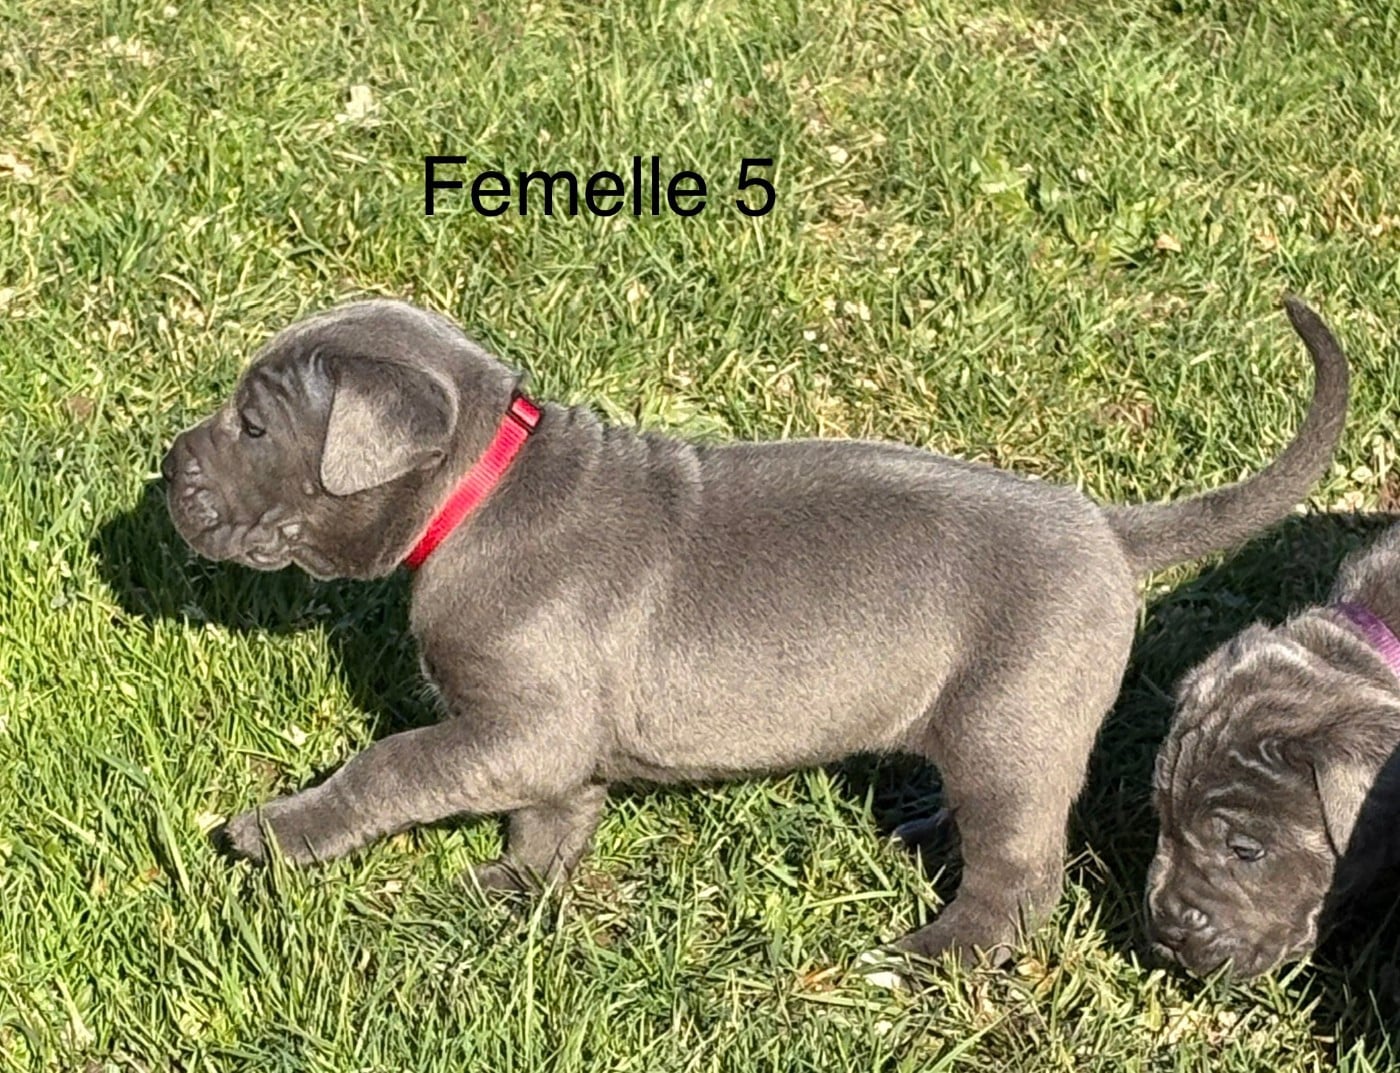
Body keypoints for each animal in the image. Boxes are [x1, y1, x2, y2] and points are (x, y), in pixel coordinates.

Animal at [162, 295, 1347, 971]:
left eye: (254, 425)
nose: (166, 465)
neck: (479, 493)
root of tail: (1103, 524)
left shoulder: (519, 720)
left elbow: (393, 762)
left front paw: (280, 829)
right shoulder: (545, 738)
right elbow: (551, 815)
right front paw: (514, 890)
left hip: (1014, 725)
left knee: (1018, 873)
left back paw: (934, 955)